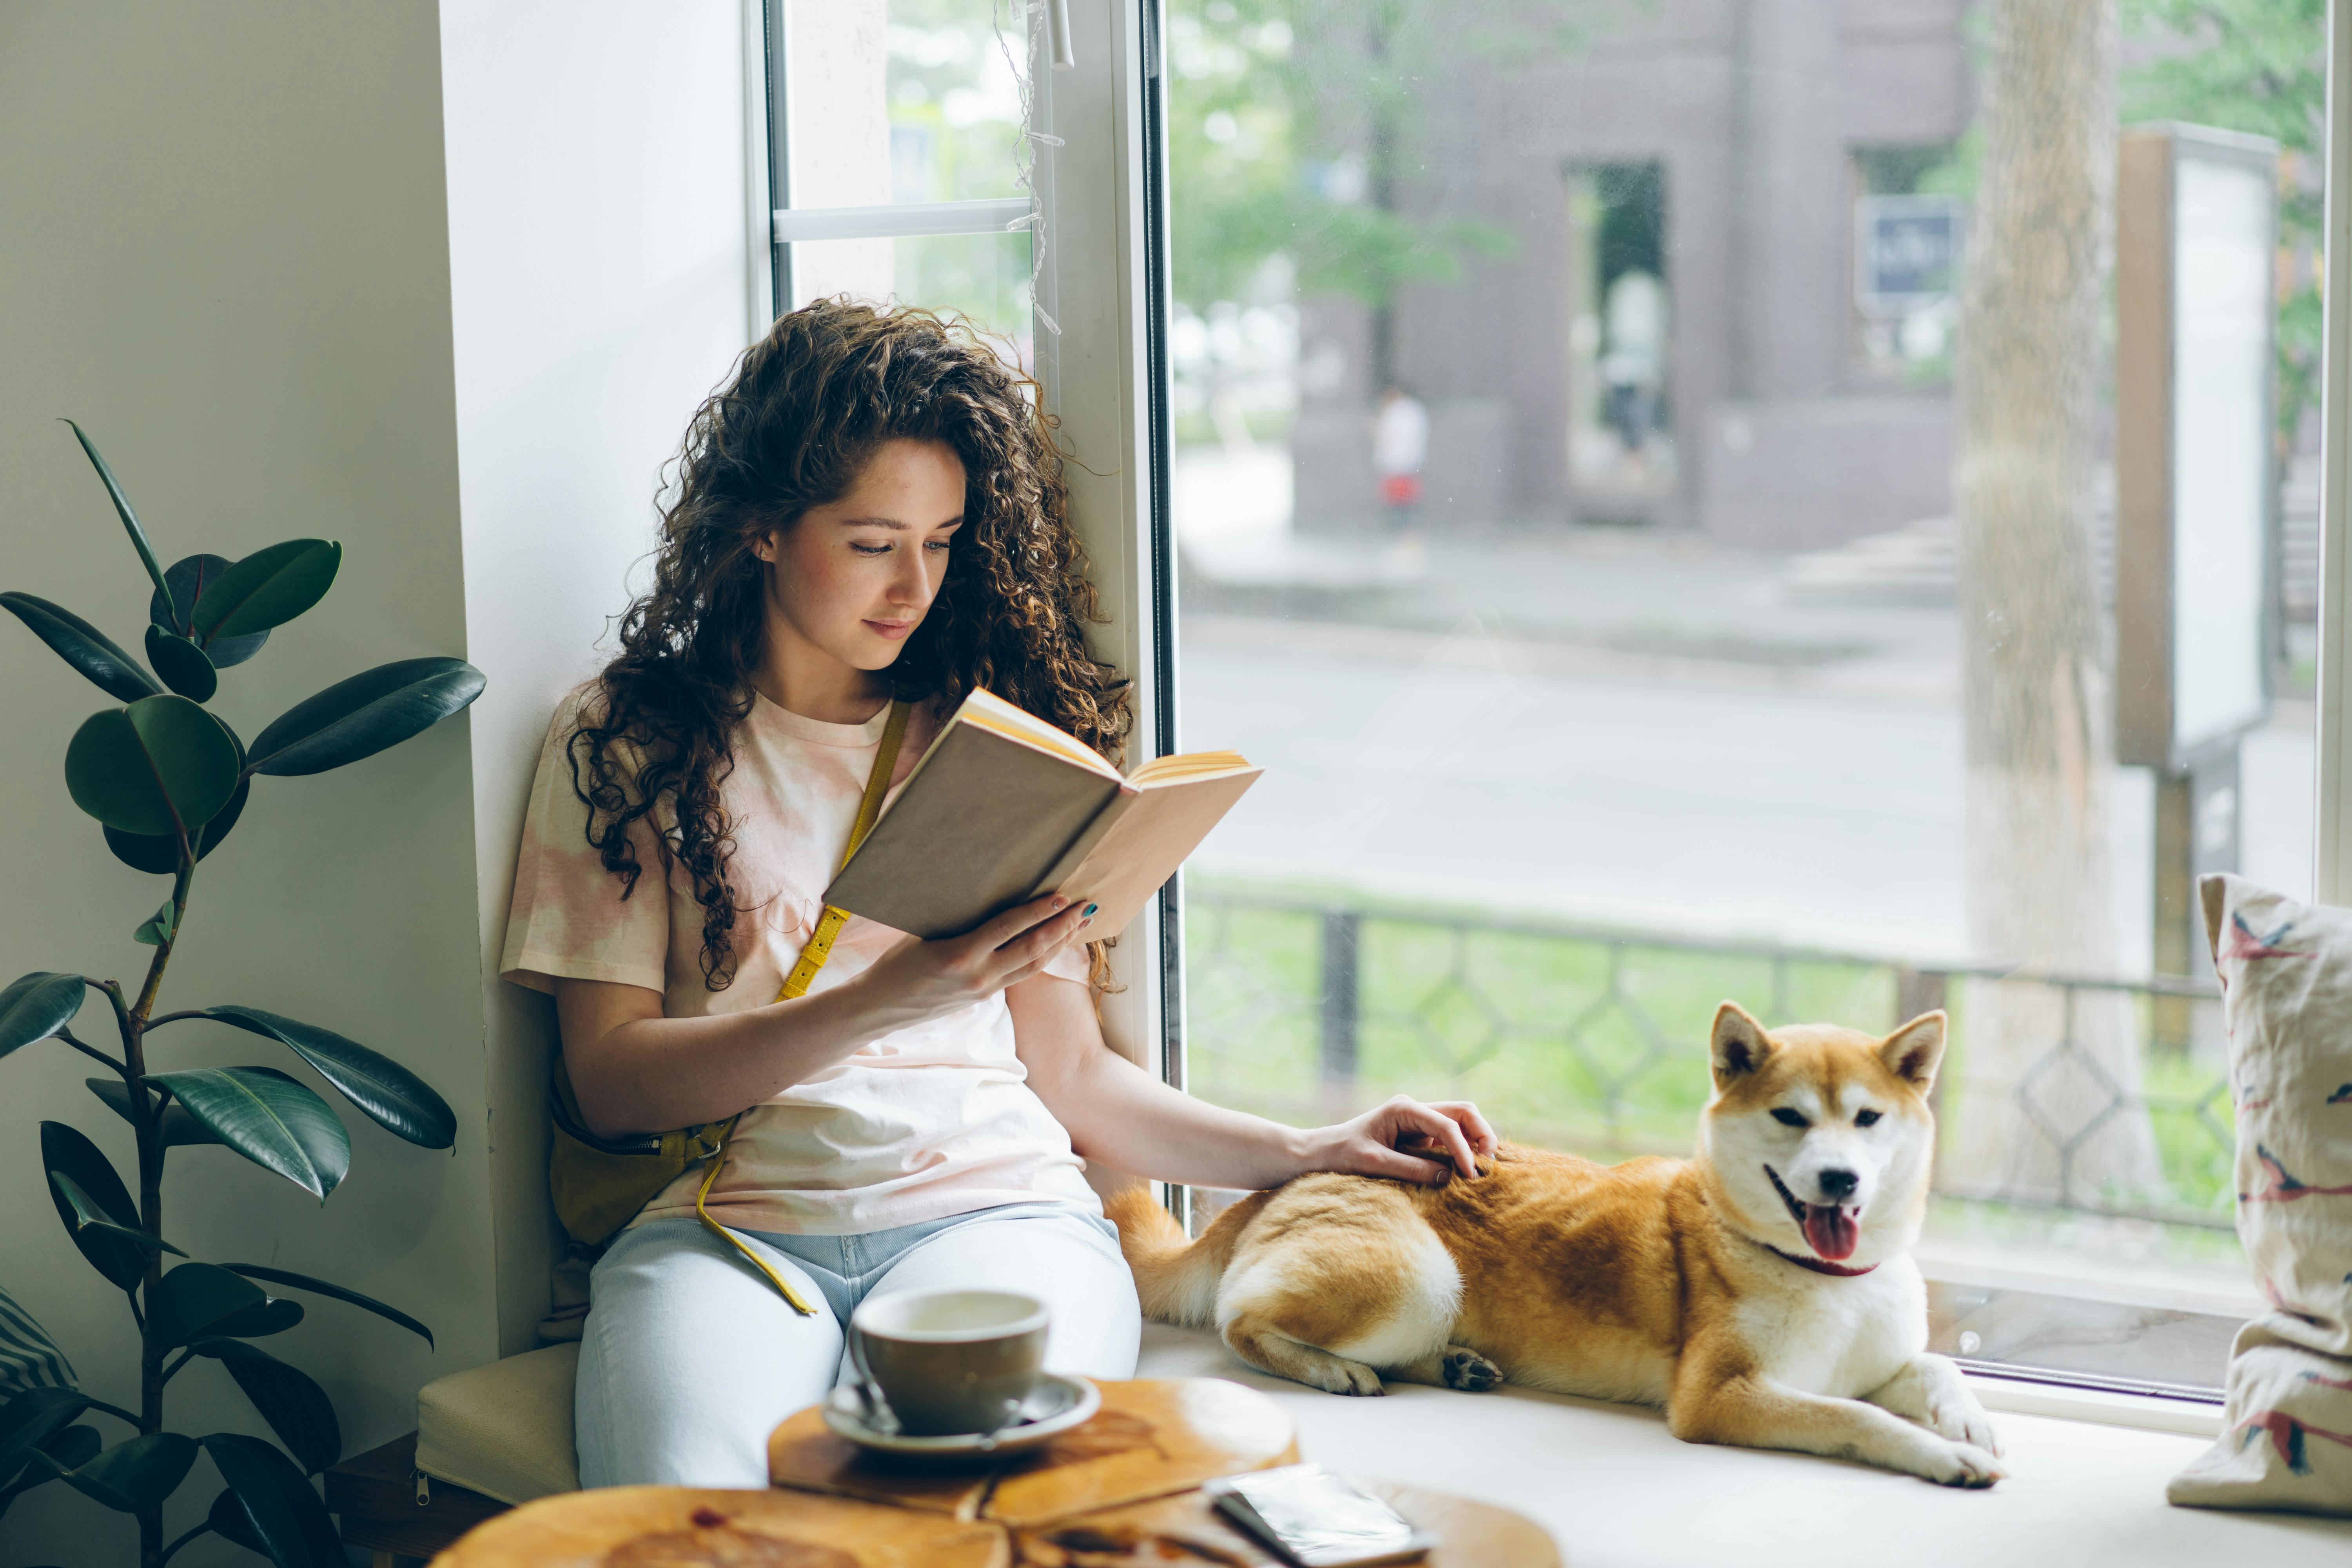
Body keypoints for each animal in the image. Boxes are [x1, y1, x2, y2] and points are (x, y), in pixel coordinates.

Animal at [1105, 1001, 2004, 1495]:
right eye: (1790, 1117)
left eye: (1866, 1119)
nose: (1840, 1178)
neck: (1826, 1276)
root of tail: (1286, 1178)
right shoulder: (1722, 1395)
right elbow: (1858, 1417)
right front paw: (1941, 1454)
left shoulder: (1876, 1359)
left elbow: (1932, 1366)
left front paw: (1969, 1420)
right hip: (1417, 1280)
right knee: (1240, 1323)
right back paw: (1333, 1369)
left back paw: (1456, 1366)